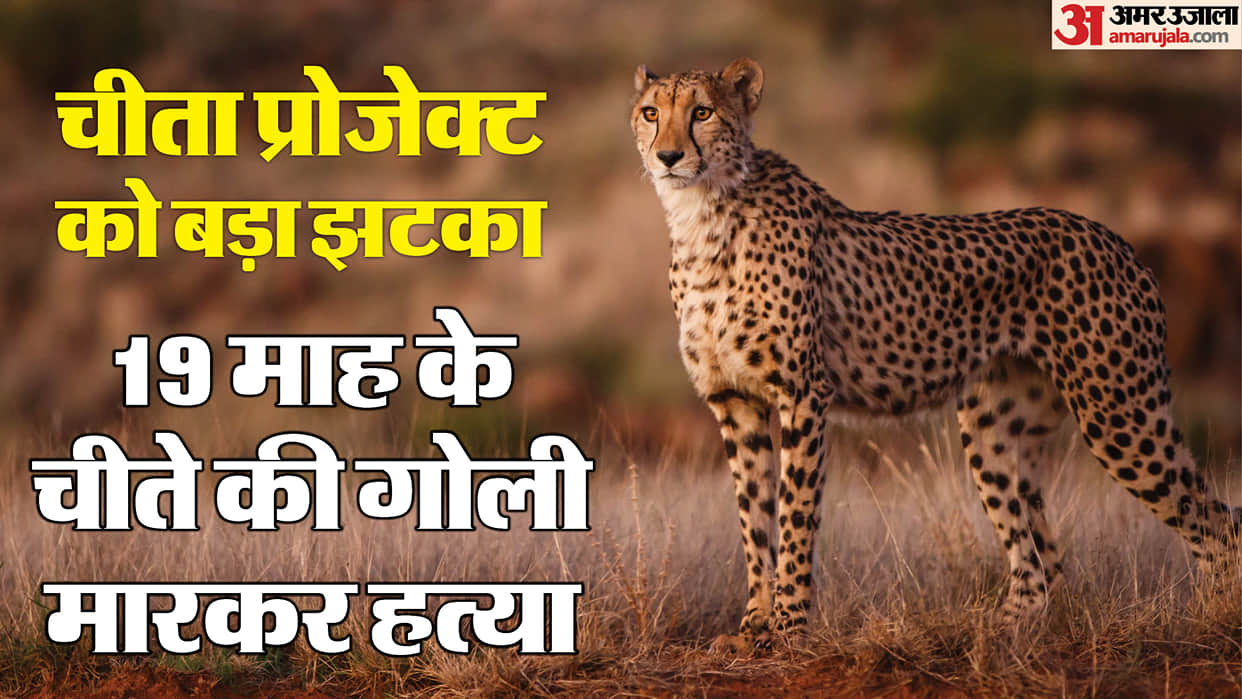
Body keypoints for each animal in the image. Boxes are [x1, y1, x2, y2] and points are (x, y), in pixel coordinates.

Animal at [630, 57, 1239, 652]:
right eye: (651, 112)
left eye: (703, 112)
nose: (668, 156)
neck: (702, 214)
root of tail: (1117, 239)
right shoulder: (734, 401)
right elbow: (754, 520)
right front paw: (753, 626)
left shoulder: (802, 395)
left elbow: (795, 515)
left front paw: (788, 630)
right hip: (994, 427)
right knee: (1039, 565)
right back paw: (1001, 631)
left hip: (1118, 415)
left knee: (1217, 523)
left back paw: (1215, 617)